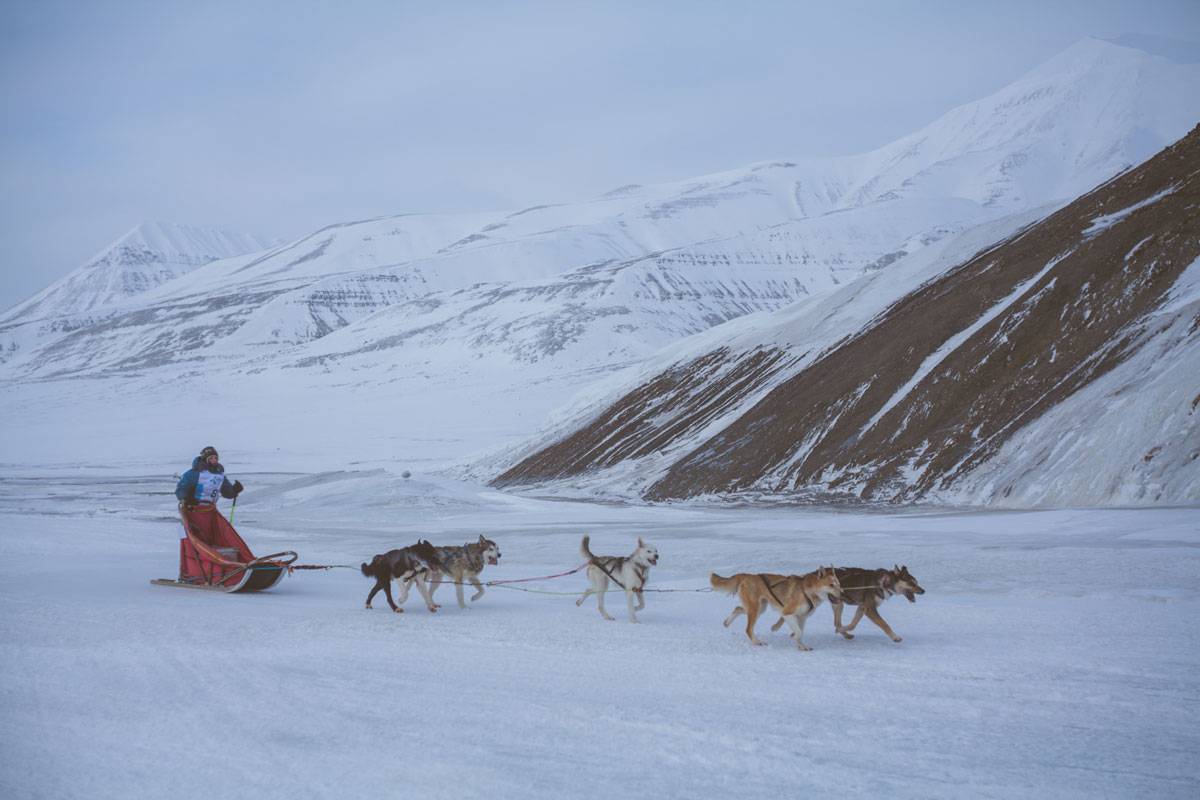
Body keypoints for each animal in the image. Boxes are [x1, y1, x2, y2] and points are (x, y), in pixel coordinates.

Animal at [710, 568, 844, 652]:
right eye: (831, 585)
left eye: (838, 584)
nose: (843, 593)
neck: (807, 591)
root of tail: (748, 575)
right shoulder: (787, 613)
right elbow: (798, 632)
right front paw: (795, 638)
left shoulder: (802, 618)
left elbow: (800, 632)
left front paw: (802, 646)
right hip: (755, 609)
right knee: (748, 629)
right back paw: (757, 642)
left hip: (760, 608)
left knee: (737, 608)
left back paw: (727, 622)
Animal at [772, 563, 921, 642]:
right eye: (912, 583)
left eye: (917, 582)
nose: (923, 590)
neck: (884, 582)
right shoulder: (870, 609)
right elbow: (884, 624)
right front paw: (895, 637)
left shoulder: (862, 607)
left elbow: (852, 624)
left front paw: (844, 630)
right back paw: (778, 626)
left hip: (838, 603)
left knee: (836, 622)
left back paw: (845, 634)